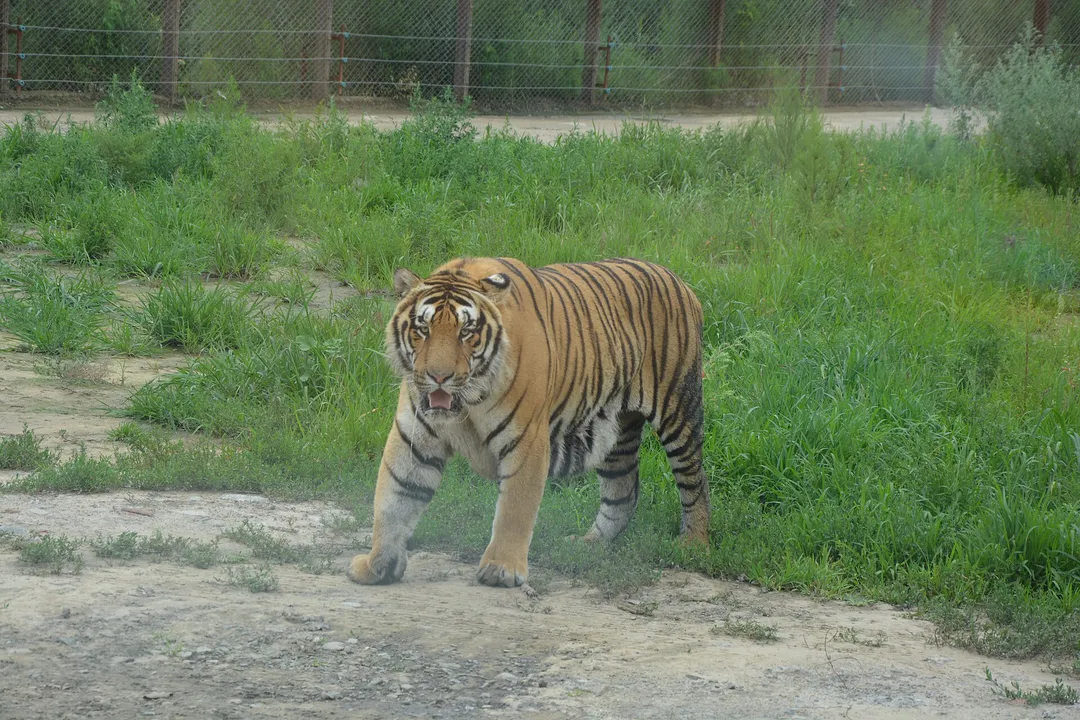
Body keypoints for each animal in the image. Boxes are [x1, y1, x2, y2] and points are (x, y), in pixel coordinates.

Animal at [347, 256, 710, 588]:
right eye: (423, 329)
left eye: (467, 332)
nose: (439, 377)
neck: (467, 405)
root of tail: (675, 276)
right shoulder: (414, 437)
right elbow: (394, 498)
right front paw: (377, 565)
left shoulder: (525, 440)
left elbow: (514, 508)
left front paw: (501, 569)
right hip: (615, 428)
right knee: (624, 489)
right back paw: (590, 544)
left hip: (679, 407)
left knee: (693, 479)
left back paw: (694, 543)